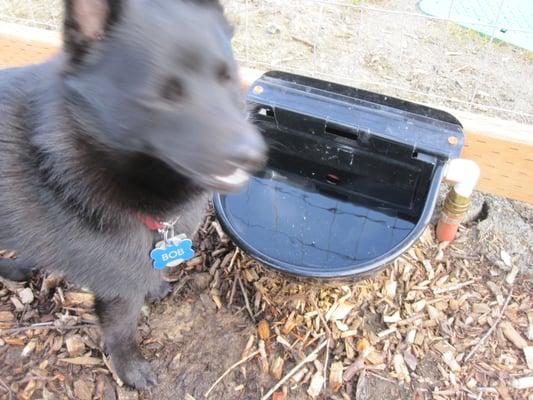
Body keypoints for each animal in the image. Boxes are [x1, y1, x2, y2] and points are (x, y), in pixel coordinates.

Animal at [0, 0, 264, 388]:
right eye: (164, 95)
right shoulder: (116, 289)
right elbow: (121, 331)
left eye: (226, 77)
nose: (254, 154)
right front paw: (130, 369)